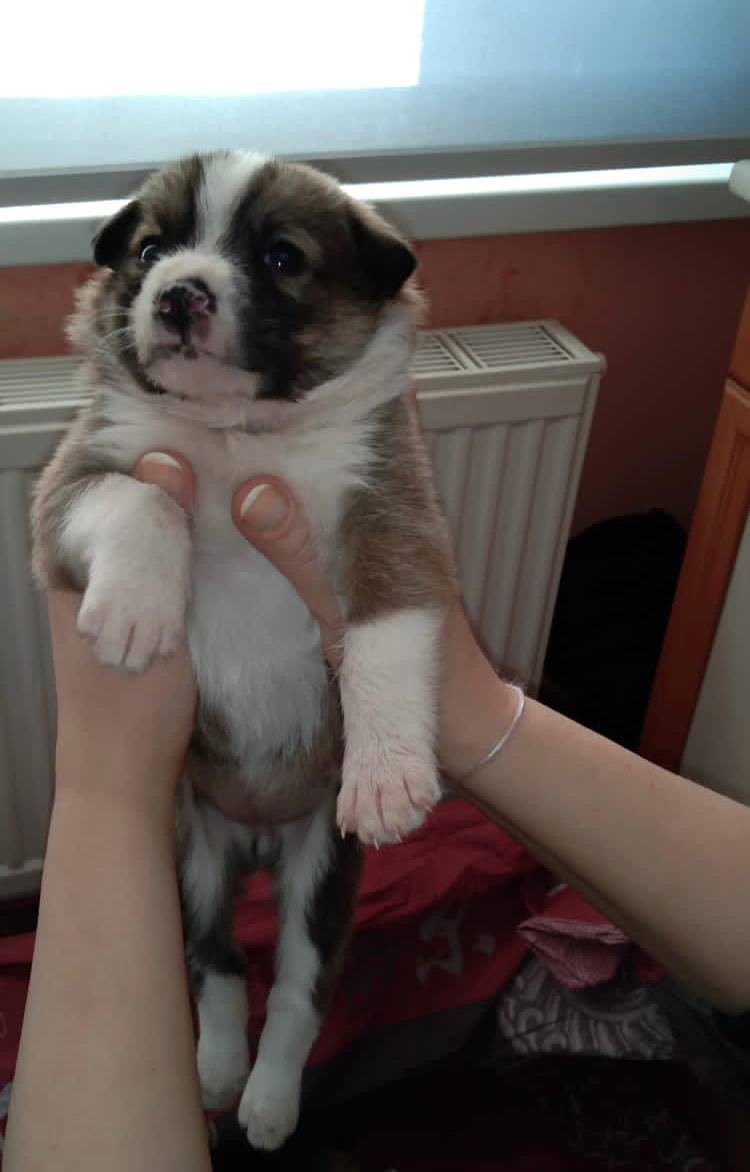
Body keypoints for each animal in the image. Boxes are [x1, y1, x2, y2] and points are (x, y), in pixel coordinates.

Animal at [32, 150, 455, 1150]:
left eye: (280, 258)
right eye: (152, 249)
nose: (179, 294)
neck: (237, 434)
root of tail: (261, 839)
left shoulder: (394, 509)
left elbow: (382, 635)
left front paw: (389, 772)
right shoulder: (75, 476)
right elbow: (138, 497)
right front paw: (136, 607)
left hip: (322, 870)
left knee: (298, 988)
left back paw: (268, 1099)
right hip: (191, 854)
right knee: (216, 964)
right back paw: (218, 1068)